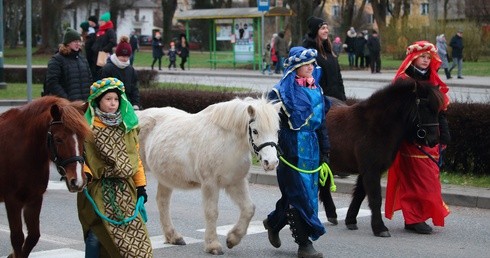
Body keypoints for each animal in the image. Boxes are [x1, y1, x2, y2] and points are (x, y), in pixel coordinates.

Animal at [0, 96, 91, 258]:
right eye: (58, 139)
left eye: (82, 138)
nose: (78, 181)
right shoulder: (12, 200)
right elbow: (17, 238)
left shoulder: (34, 199)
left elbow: (33, 237)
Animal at [138, 97, 282, 256]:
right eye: (255, 131)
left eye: (277, 131)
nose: (271, 162)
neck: (227, 141)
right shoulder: (210, 183)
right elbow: (211, 212)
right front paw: (213, 245)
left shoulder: (236, 182)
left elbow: (249, 209)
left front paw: (232, 239)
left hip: (166, 177)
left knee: (162, 202)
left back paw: (173, 237)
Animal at [320, 78, 446, 238]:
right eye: (426, 107)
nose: (434, 140)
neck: (376, 126)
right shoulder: (370, 169)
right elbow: (375, 198)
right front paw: (380, 228)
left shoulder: (369, 170)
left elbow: (360, 194)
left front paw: (351, 220)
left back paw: (331, 214)